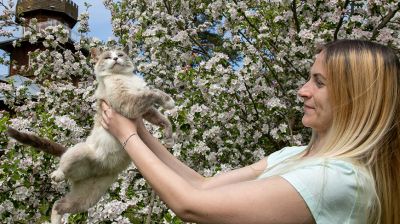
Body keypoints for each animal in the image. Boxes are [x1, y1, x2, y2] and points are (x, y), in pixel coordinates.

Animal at [6, 47, 175, 224]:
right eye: (108, 57)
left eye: (120, 55)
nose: (115, 59)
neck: (124, 77)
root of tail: (98, 168)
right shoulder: (128, 103)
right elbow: (153, 93)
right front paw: (170, 102)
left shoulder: (142, 109)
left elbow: (161, 117)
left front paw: (169, 137)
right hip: (79, 152)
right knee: (62, 168)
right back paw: (57, 175)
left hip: (88, 198)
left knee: (59, 205)